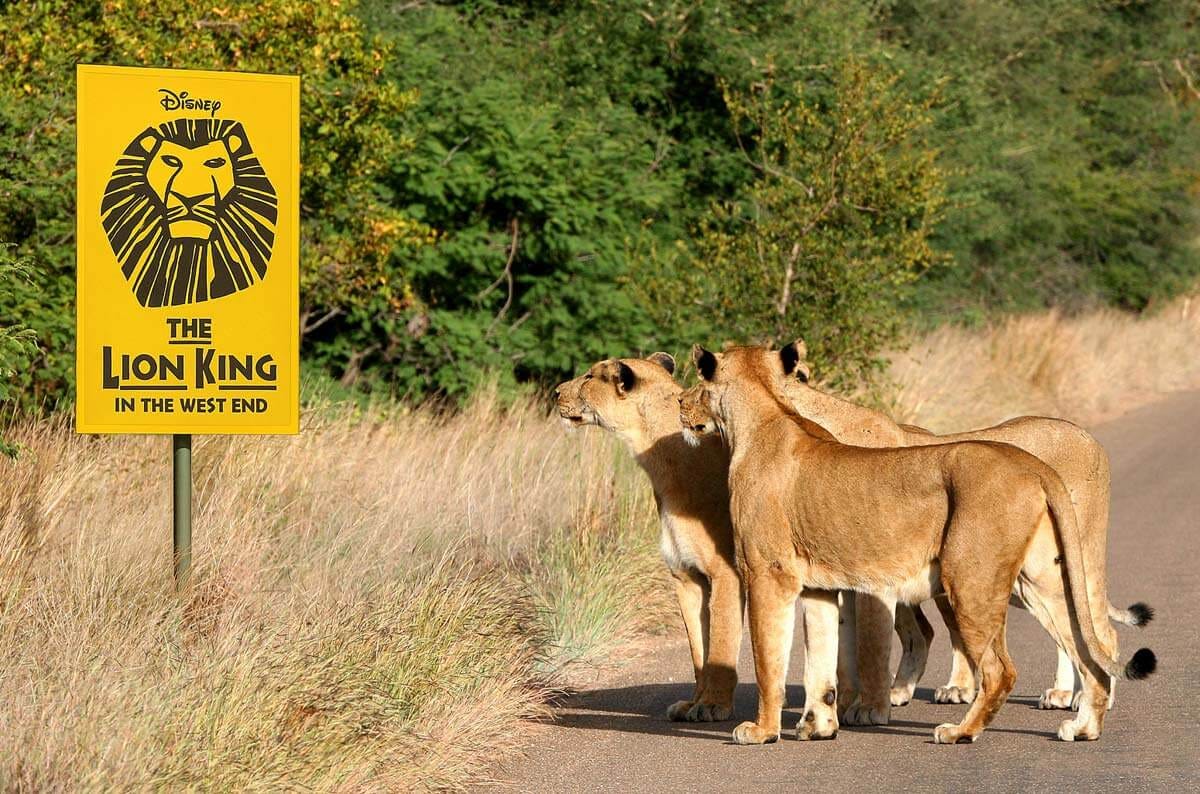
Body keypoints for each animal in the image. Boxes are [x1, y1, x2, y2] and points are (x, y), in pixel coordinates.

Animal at [554, 355, 841, 738]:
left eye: (588, 377)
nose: (556, 392)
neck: (660, 464)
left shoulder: (727, 572)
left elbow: (720, 643)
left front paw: (712, 707)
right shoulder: (686, 576)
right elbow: (697, 651)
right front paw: (692, 703)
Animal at [681, 342, 1155, 745]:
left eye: (699, 382)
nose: (681, 404)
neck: (767, 414)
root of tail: (1033, 465)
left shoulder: (769, 574)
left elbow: (771, 658)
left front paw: (764, 730)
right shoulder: (819, 586)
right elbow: (823, 660)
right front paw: (818, 725)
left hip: (972, 579)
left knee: (1006, 668)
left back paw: (962, 731)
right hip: (1040, 582)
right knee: (1085, 646)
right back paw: (1084, 725)